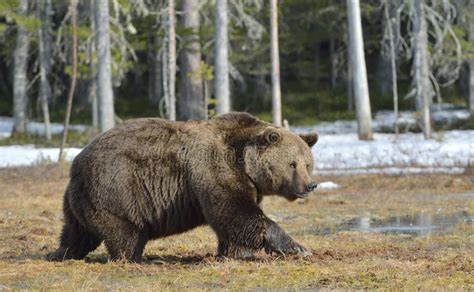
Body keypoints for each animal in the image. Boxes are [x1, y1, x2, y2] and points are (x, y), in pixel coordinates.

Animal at [47, 112, 318, 262]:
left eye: (308, 163)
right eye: (292, 164)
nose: (310, 185)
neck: (244, 160)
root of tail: (77, 162)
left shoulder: (246, 183)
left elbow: (235, 222)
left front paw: (235, 253)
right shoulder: (214, 169)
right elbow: (235, 214)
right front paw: (298, 248)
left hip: (78, 200)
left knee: (77, 231)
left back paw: (59, 252)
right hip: (116, 189)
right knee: (125, 234)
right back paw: (136, 259)